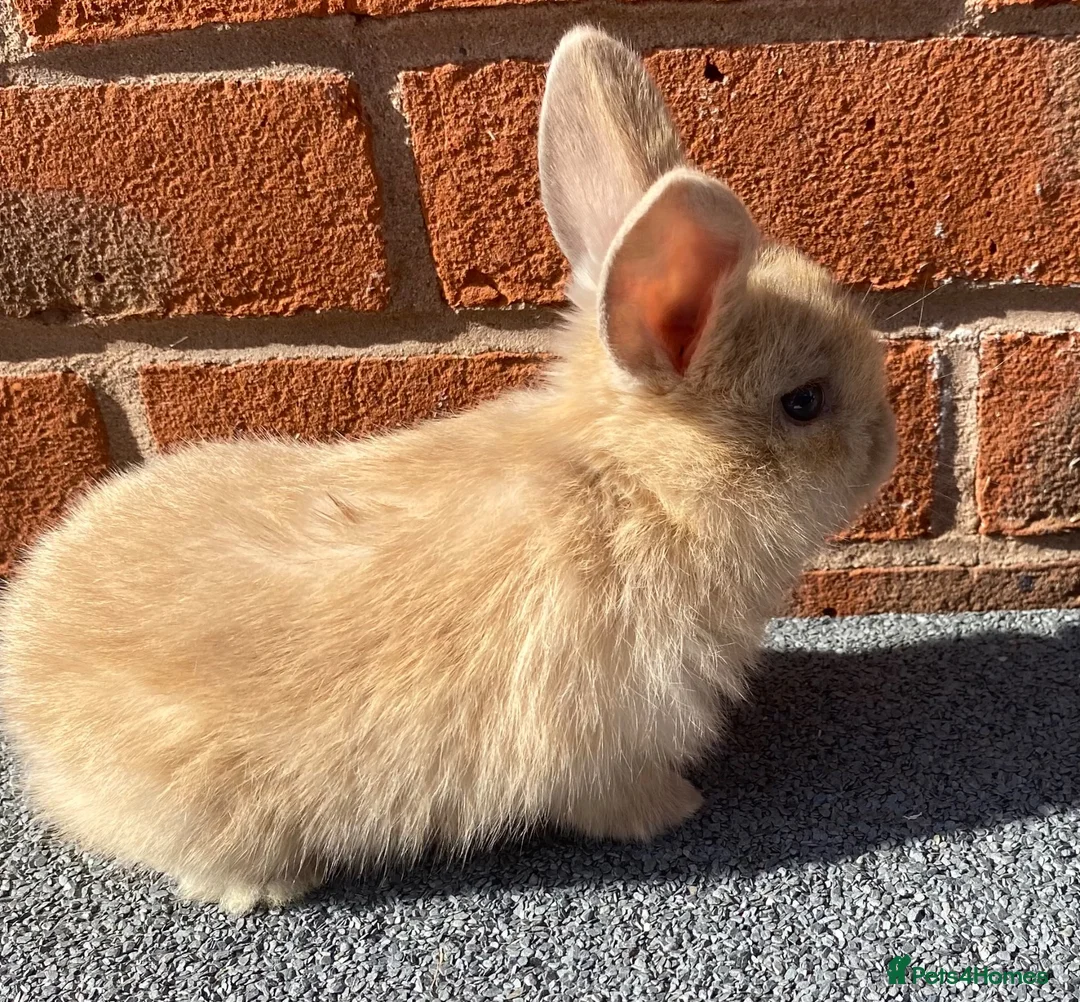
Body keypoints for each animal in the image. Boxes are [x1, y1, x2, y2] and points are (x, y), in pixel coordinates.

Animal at [0, 26, 896, 915]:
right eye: (803, 403)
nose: (885, 449)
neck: (640, 488)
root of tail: (27, 672)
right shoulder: (597, 737)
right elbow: (612, 796)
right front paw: (675, 808)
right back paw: (276, 886)